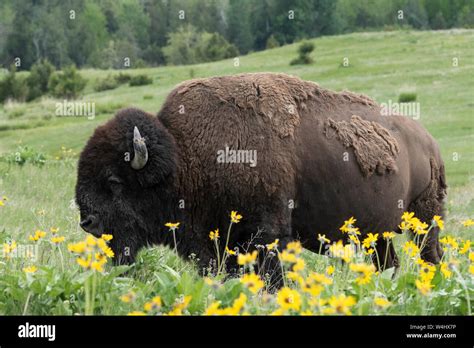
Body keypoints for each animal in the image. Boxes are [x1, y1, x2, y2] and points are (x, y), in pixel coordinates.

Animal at [76, 72, 446, 286]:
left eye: (114, 181)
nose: (87, 221)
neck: (184, 155)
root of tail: (427, 141)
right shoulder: (219, 246)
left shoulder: (266, 236)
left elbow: (274, 279)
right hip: (378, 234)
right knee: (389, 262)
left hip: (425, 217)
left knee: (430, 254)